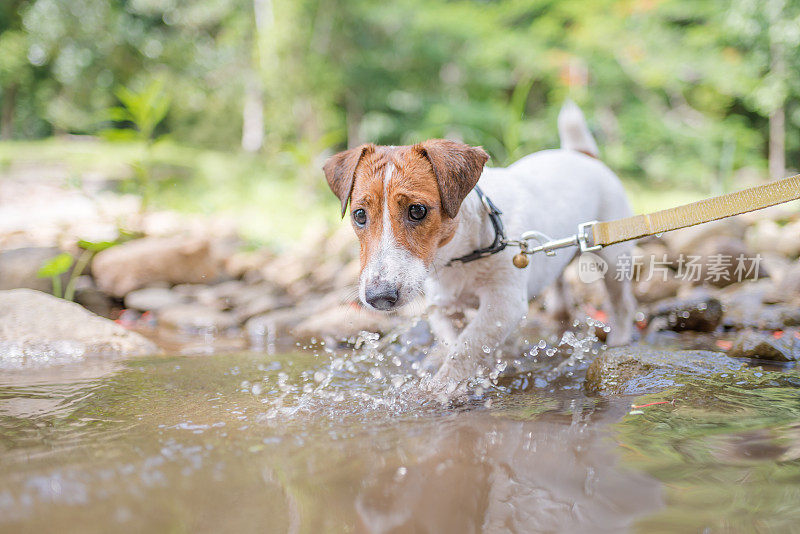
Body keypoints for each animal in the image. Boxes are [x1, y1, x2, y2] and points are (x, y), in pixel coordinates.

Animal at [322, 102, 636, 390]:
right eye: (359, 215)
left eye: (417, 211)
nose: (379, 298)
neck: (462, 254)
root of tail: (581, 154)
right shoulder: (442, 307)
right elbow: (455, 344)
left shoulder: (504, 304)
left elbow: (468, 347)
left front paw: (442, 390)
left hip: (612, 256)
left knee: (622, 305)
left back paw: (619, 342)